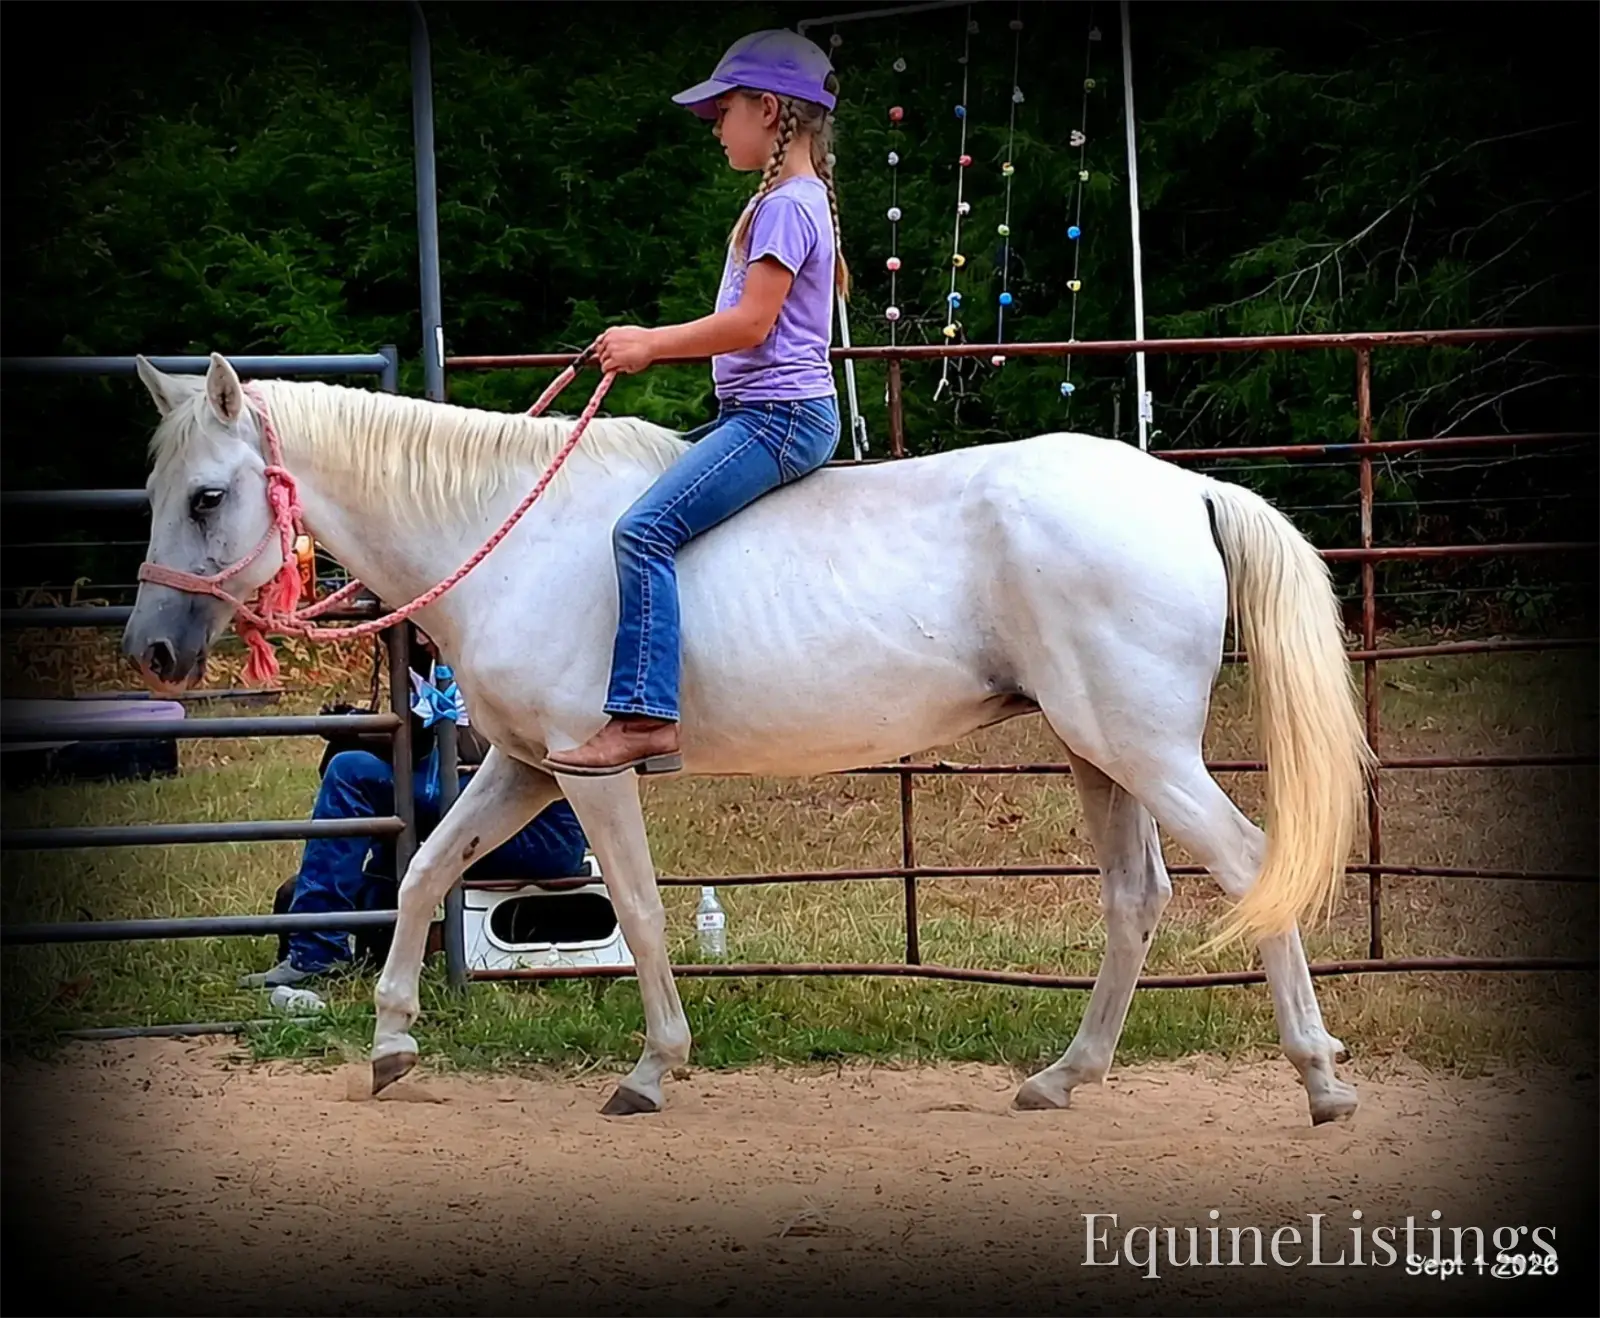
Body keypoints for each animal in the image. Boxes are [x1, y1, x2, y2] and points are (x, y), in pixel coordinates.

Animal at [122, 352, 1375, 1126]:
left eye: (205, 496)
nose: (151, 652)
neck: (512, 533)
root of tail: (1181, 491)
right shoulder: (525, 768)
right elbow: (427, 871)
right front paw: (389, 1046)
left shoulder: (587, 769)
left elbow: (635, 909)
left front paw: (650, 1070)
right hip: (1096, 752)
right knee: (1135, 898)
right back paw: (1063, 1077)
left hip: (1144, 751)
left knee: (1251, 866)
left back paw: (1318, 1079)